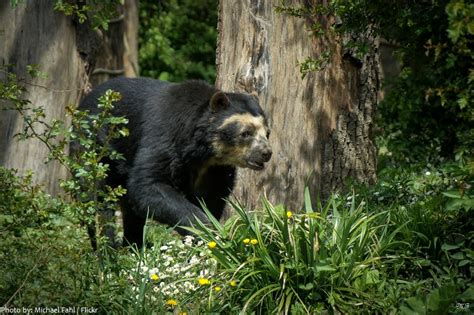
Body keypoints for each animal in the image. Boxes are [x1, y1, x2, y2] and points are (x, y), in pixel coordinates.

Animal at [77, 77, 270, 249]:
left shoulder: (216, 169)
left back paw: (134, 247)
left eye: (267, 133)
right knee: (96, 200)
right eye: (246, 133)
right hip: (95, 148)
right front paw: (206, 230)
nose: (266, 153)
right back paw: (107, 250)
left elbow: (211, 196)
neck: (204, 152)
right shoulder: (165, 136)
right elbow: (148, 185)